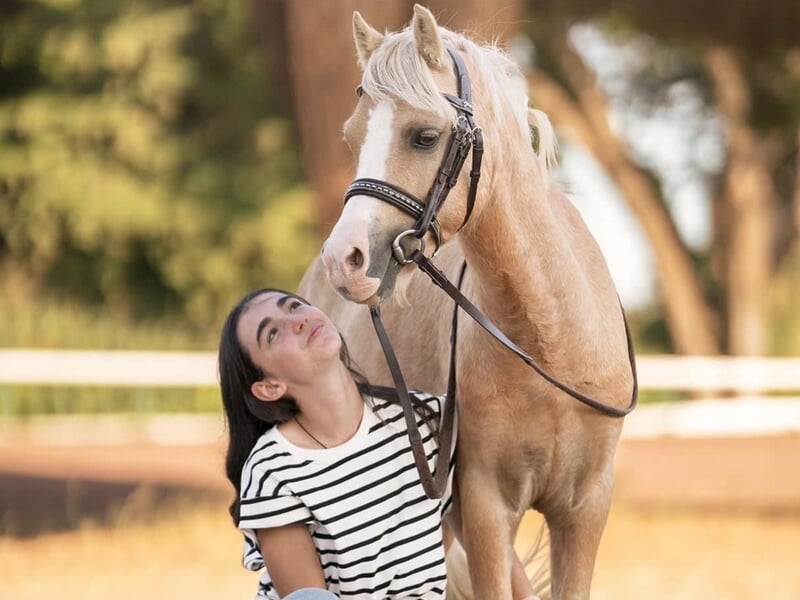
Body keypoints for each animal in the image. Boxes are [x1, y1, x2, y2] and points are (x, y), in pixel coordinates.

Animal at [298, 5, 636, 599]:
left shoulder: (585, 509)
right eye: (352, 137)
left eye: (425, 136)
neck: (549, 341)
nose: (344, 259)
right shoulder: (483, 506)